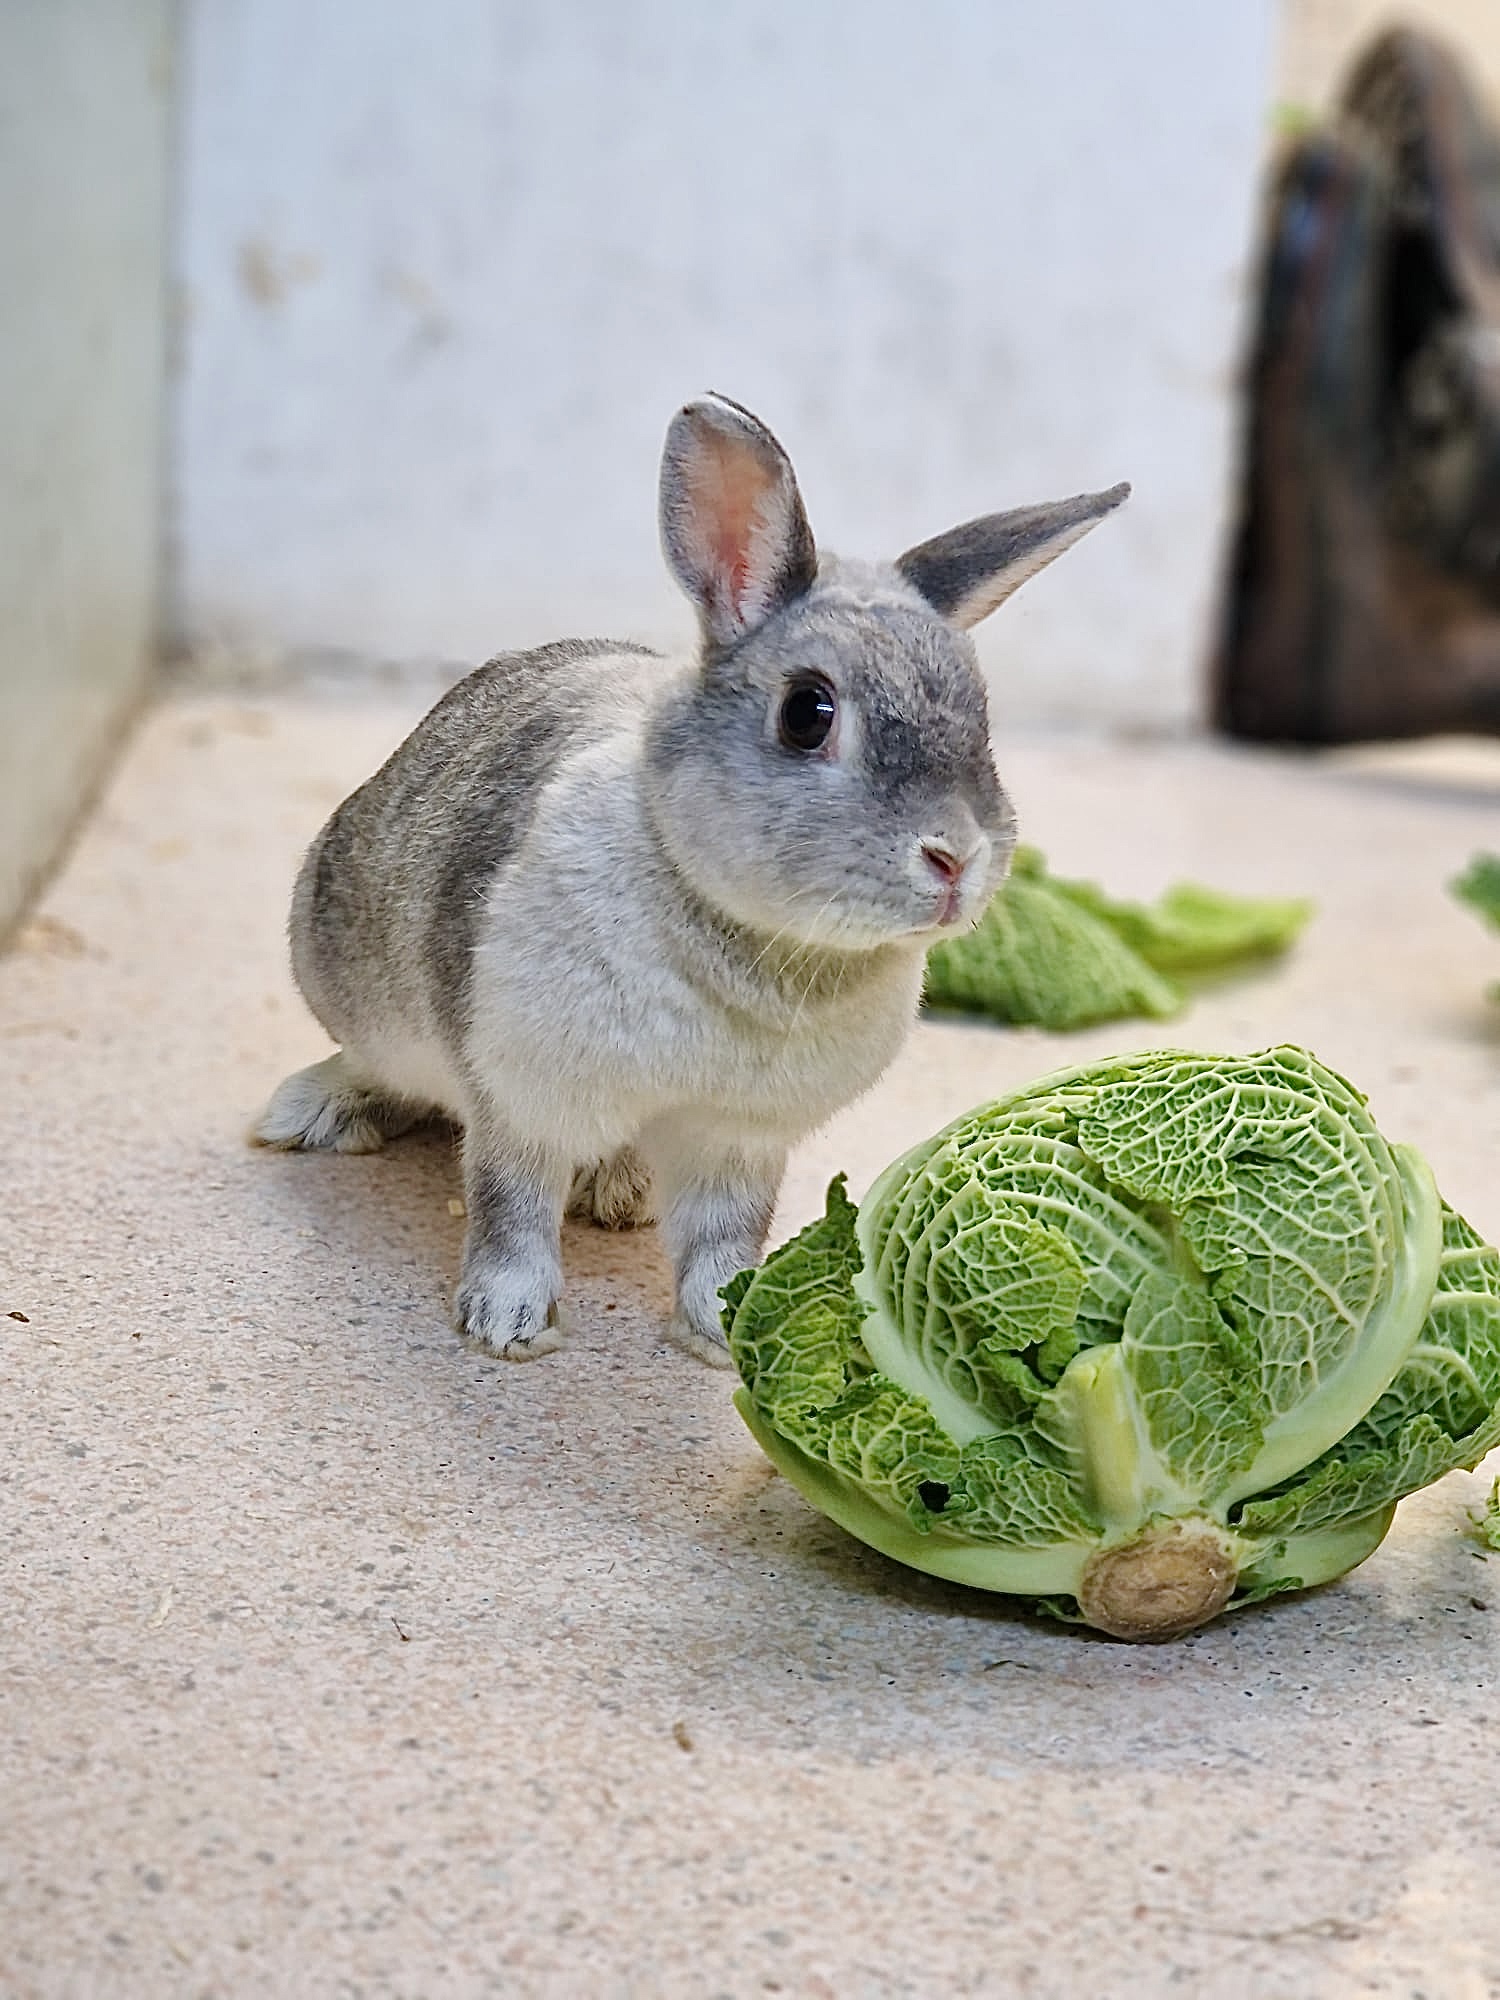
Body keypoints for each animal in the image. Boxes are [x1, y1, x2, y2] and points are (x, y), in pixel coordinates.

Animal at [258, 402, 1128, 1376]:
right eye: (807, 713)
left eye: (983, 716)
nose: (956, 857)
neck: (753, 940)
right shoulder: (520, 1098)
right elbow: (509, 1207)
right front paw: (506, 1325)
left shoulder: (738, 1141)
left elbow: (724, 1238)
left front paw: (727, 1332)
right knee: (393, 1073)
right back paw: (313, 1114)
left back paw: (619, 1188)